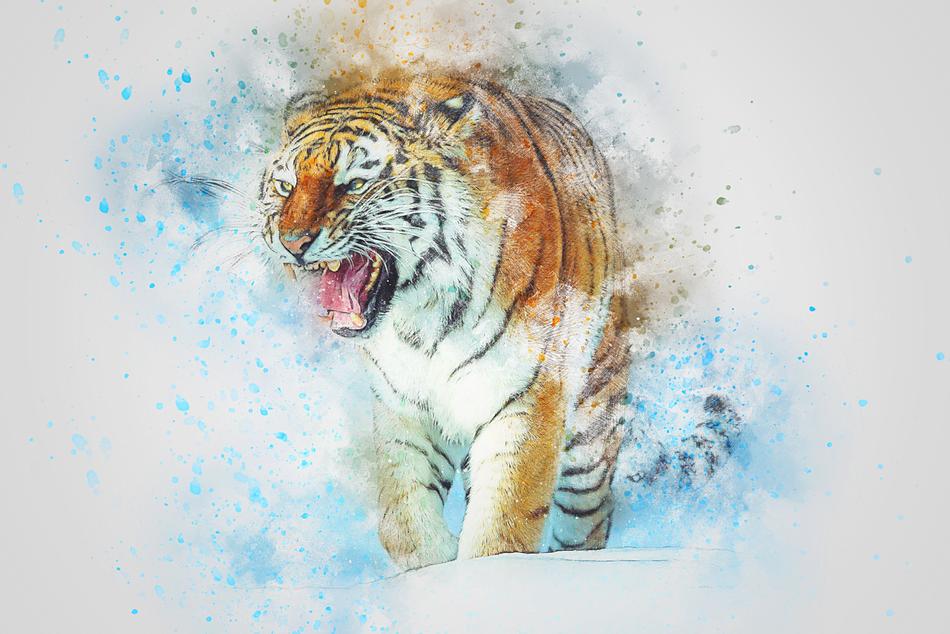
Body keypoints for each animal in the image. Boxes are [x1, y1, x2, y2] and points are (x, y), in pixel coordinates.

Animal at [255, 69, 738, 570]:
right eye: (286, 186)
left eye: (352, 184)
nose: (291, 241)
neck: (421, 317)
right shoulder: (404, 407)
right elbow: (404, 520)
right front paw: (436, 564)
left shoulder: (527, 400)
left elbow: (503, 525)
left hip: (590, 439)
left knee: (589, 519)